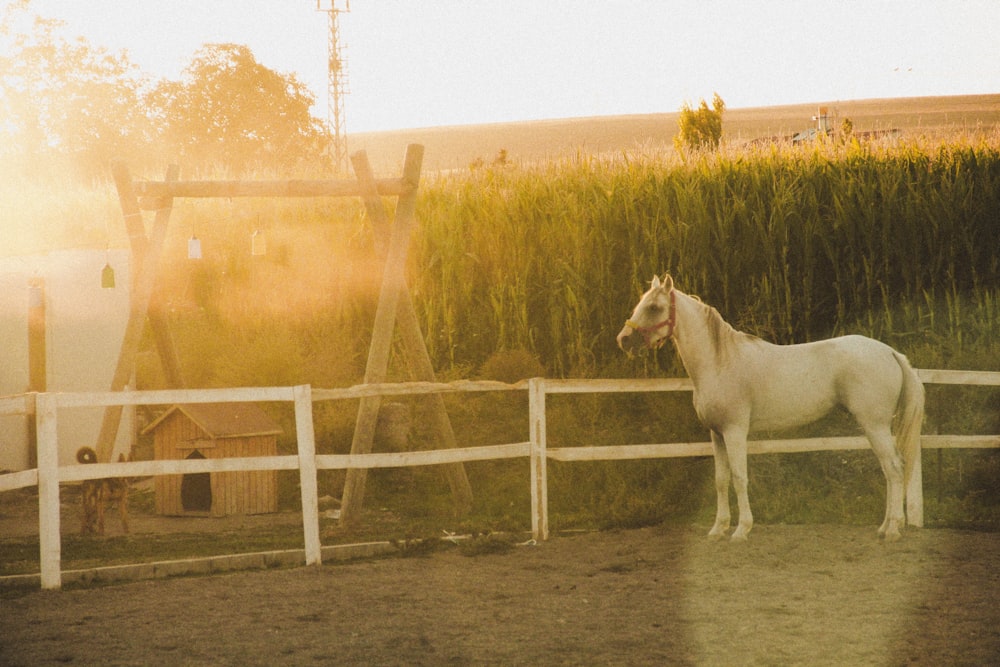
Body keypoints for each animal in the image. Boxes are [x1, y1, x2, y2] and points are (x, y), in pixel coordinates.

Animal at [612, 276, 924, 544]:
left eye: (654, 307)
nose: (623, 340)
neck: (719, 362)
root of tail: (890, 352)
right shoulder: (716, 434)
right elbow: (721, 481)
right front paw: (718, 529)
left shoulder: (735, 431)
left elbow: (740, 478)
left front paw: (741, 530)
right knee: (889, 470)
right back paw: (884, 527)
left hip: (875, 425)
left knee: (894, 468)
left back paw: (893, 530)